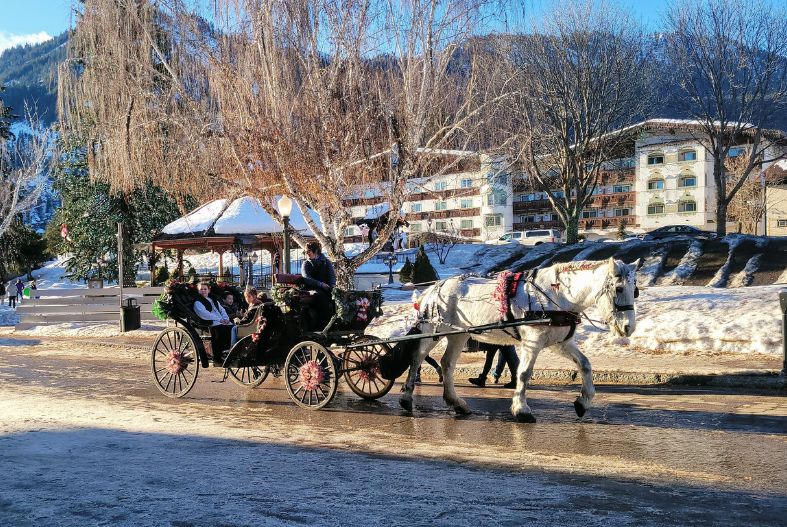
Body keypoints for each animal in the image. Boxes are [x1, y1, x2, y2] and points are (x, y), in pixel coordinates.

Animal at [400, 258, 640, 422]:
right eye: (619, 288)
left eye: (635, 290)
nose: (629, 328)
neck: (557, 295)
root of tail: (433, 288)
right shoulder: (532, 342)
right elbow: (524, 374)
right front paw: (521, 409)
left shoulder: (560, 342)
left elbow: (585, 364)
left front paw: (583, 401)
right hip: (434, 330)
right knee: (417, 357)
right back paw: (406, 397)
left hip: (459, 334)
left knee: (447, 364)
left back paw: (456, 403)